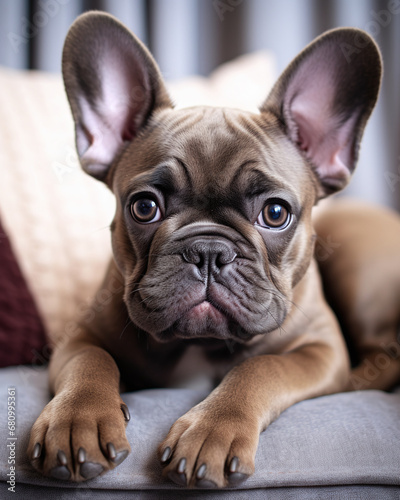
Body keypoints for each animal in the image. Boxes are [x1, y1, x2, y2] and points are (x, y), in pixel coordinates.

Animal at [26, 11, 386, 488]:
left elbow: (260, 368)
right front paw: (75, 420)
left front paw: (211, 430)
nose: (208, 251)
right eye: (144, 207)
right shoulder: (79, 335)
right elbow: (91, 361)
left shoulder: (319, 348)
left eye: (275, 213)